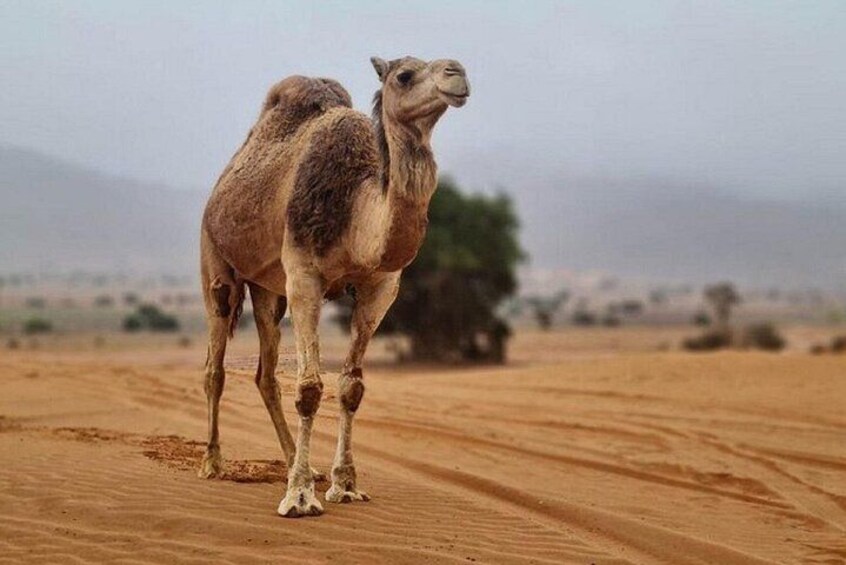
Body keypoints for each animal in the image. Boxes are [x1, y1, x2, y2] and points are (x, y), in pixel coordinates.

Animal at [198, 55, 469, 517]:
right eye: (404, 75)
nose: (458, 73)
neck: (355, 208)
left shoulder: (380, 287)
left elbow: (351, 387)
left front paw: (343, 484)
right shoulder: (305, 275)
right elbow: (309, 388)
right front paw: (299, 497)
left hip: (270, 291)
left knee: (266, 373)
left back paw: (297, 461)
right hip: (215, 261)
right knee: (215, 364)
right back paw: (213, 463)